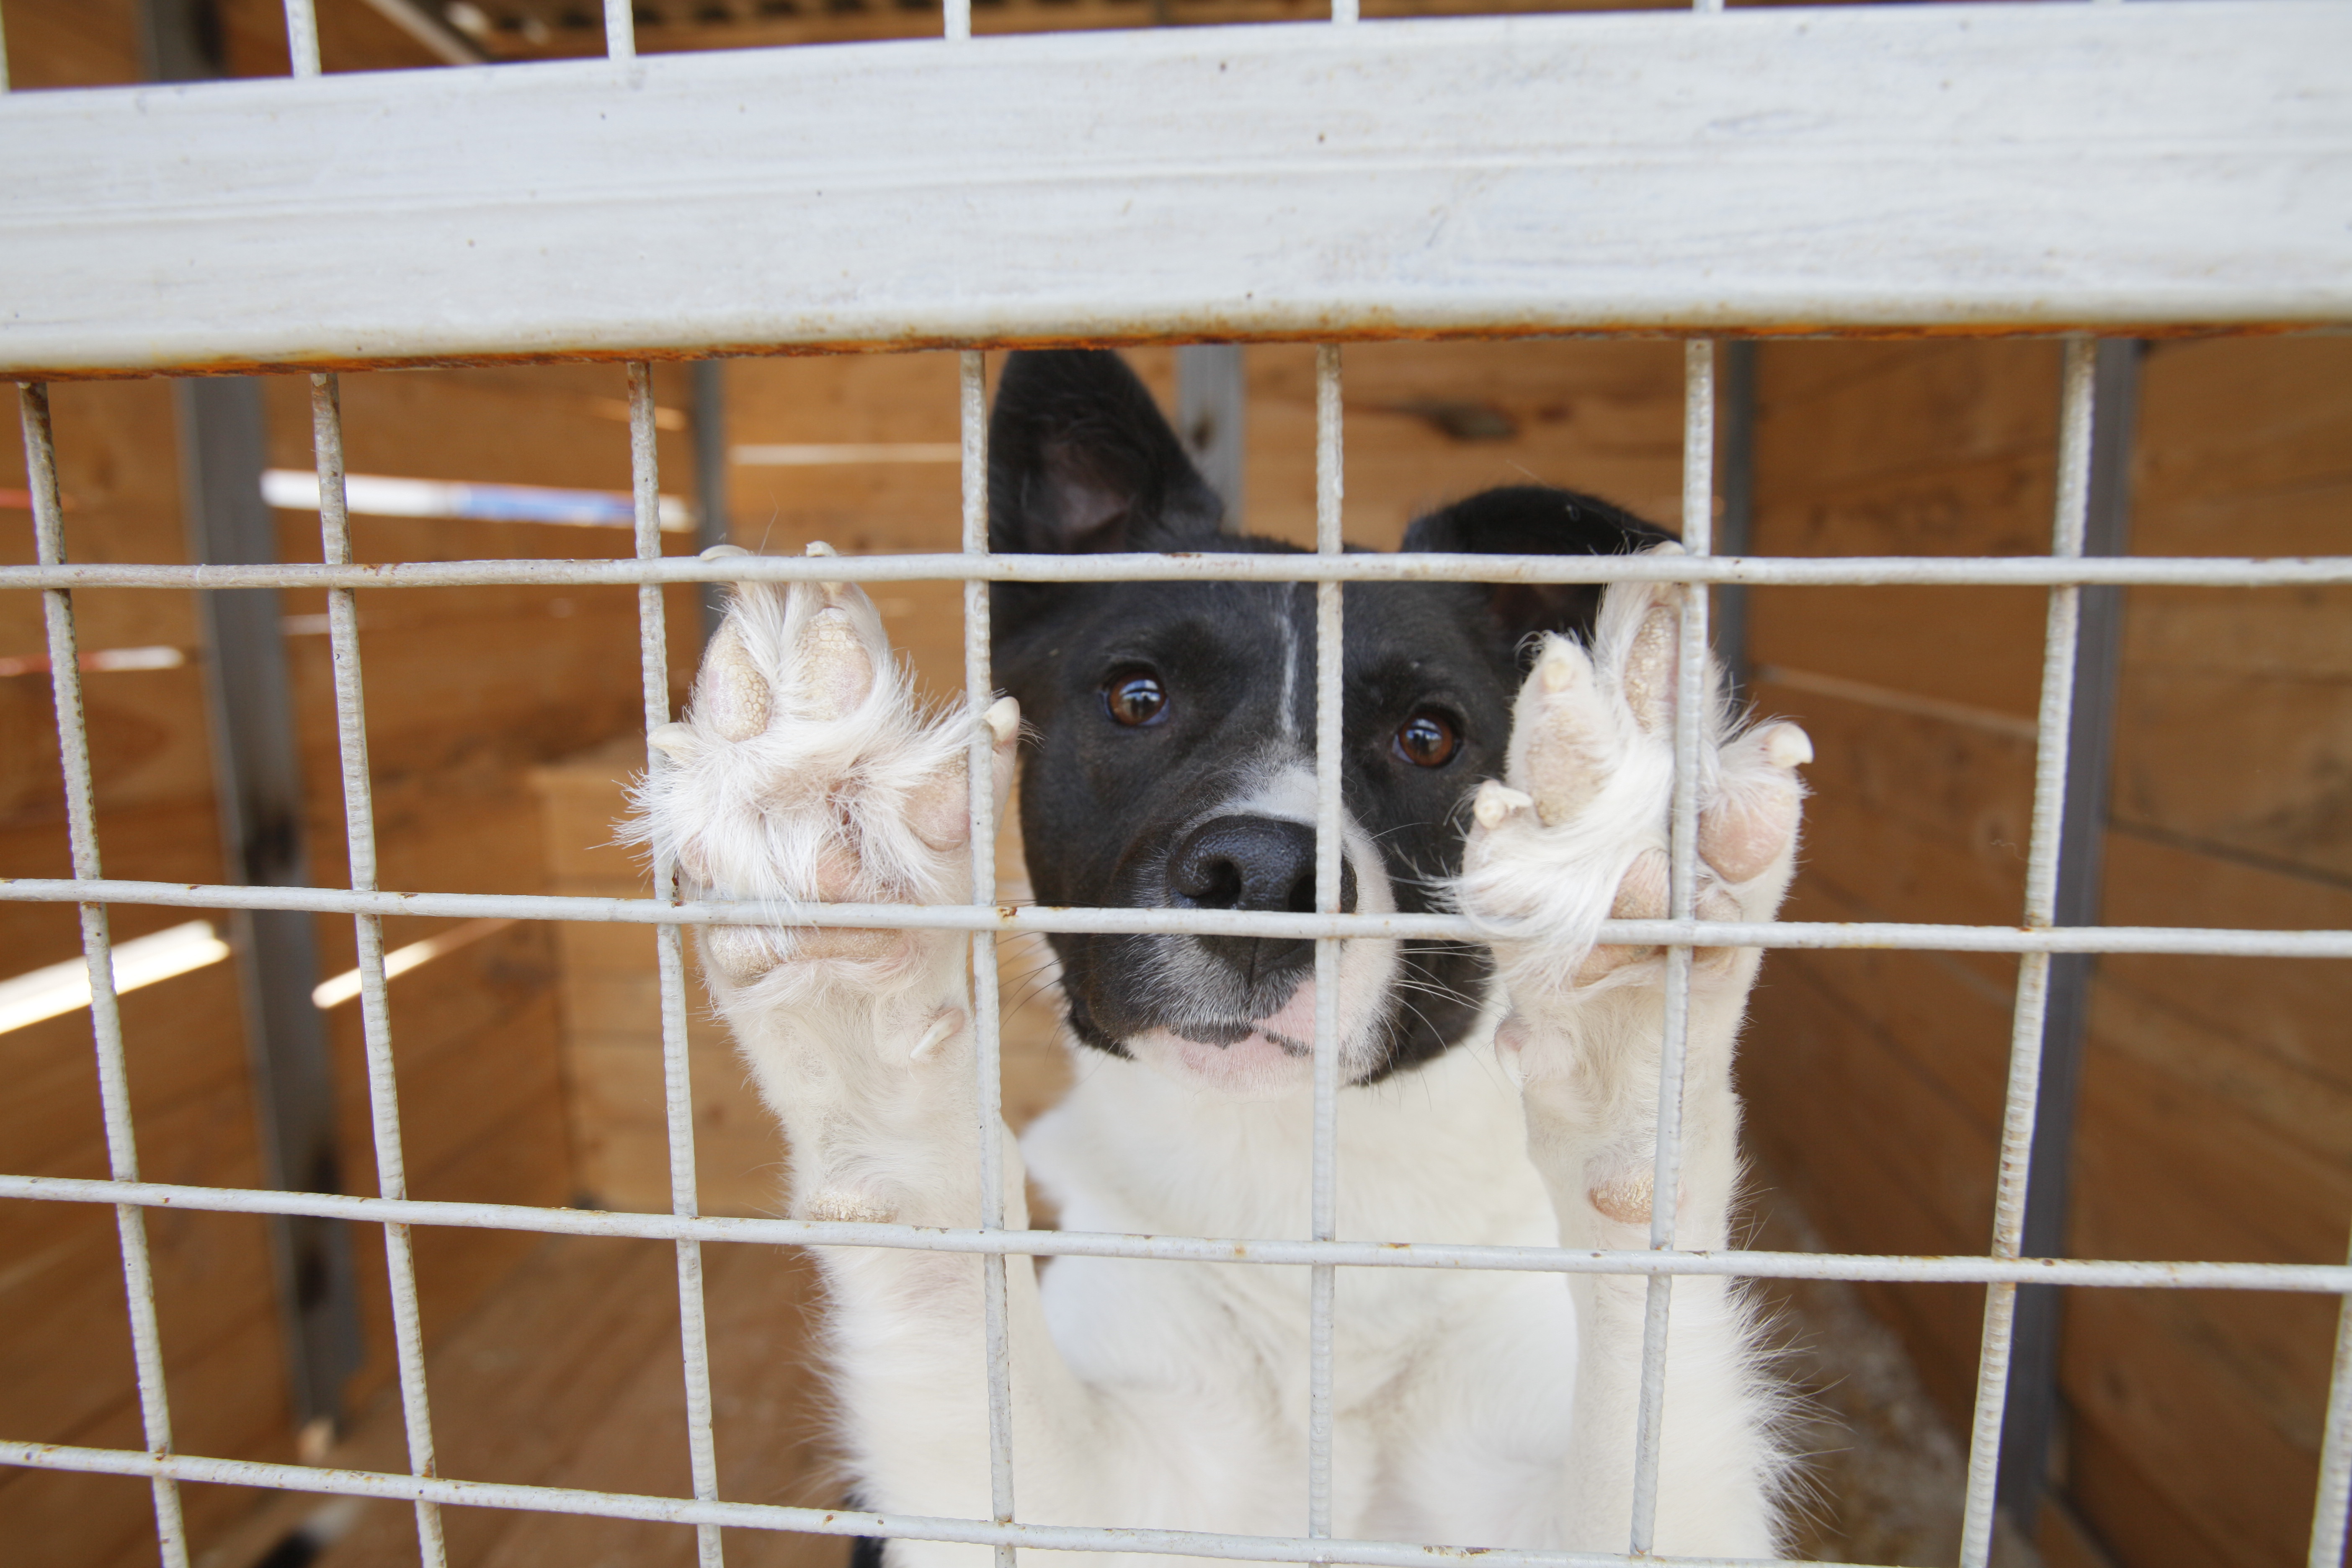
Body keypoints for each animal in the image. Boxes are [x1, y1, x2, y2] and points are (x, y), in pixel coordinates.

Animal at [635, 350, 1806, 1561]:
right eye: (1136, 696)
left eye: (1428, 735)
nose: (1265, 881)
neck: (1291, 1193)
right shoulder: (1064, 1500)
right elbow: (944, 1286)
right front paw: (829, 888)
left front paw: (1626, 939)